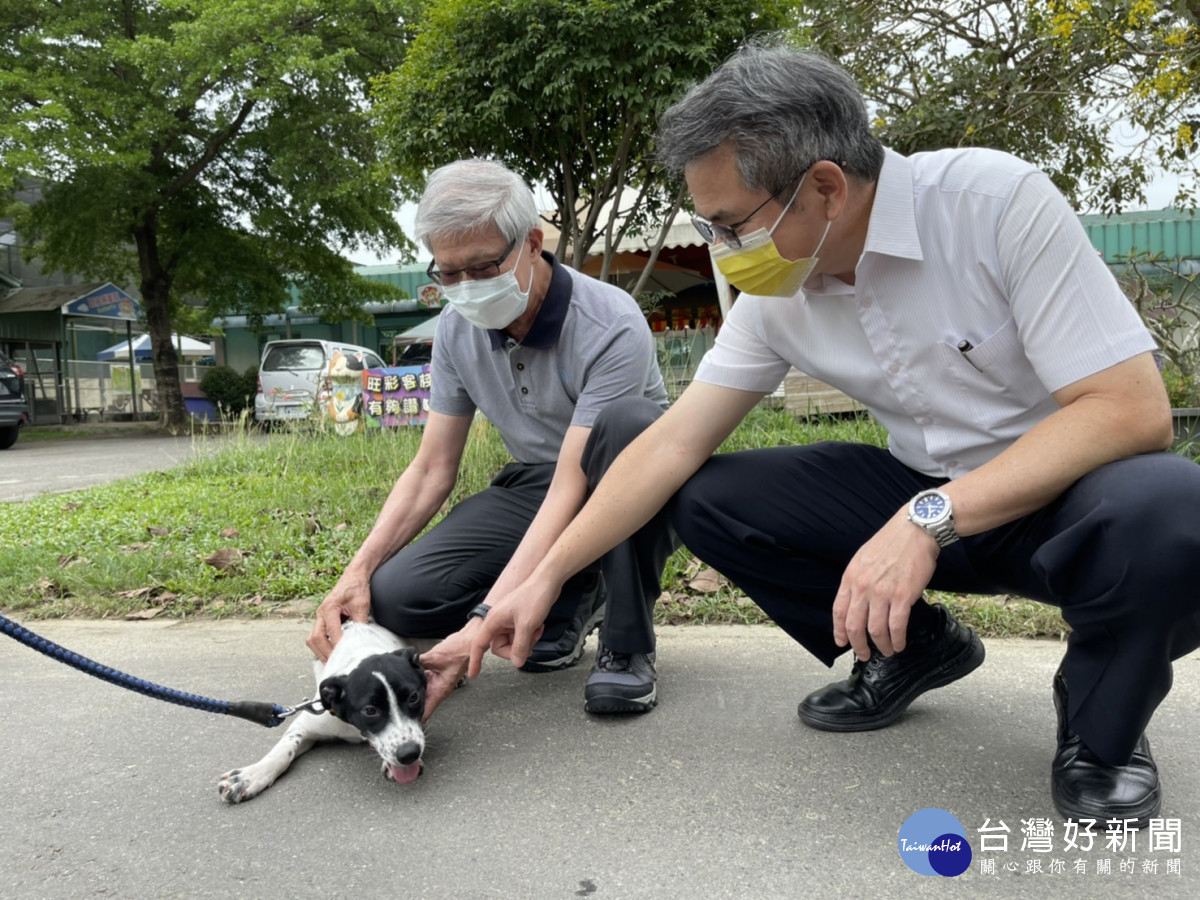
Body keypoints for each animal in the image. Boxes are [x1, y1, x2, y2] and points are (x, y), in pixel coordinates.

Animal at [218, 624, 429, 806]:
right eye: (369, 710)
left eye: (413, 697)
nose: (409, 754)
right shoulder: (307, 723)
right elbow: (283, 750)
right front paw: (250, 776)